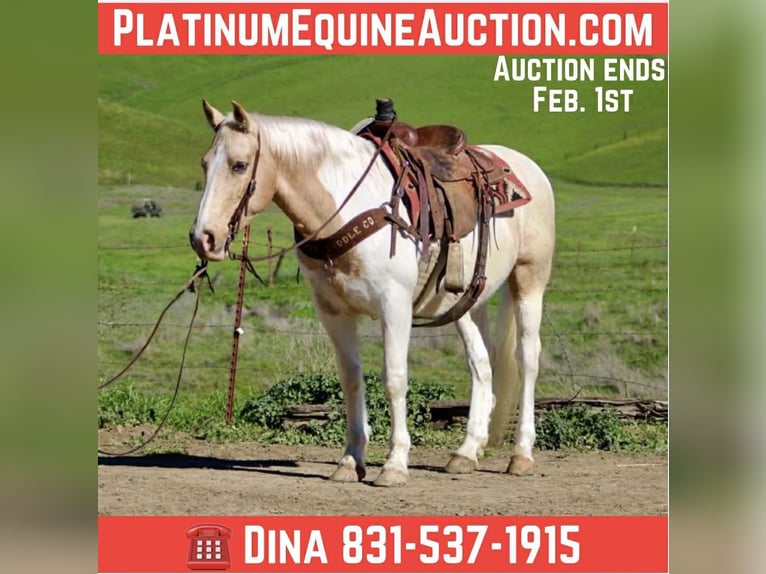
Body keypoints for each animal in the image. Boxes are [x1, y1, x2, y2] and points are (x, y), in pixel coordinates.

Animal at [189, 100, 556, 487]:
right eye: (205, 162)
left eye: (239, 165)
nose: (203, 238)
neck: (345, 208)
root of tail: (525, 166)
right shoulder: (333, 312)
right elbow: (351, 380)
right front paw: (351, 460)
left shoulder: (394, 305)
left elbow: (394, 379)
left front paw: (394, 464)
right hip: (467, 303)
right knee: (482, 364)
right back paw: (466, 452)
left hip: (529, 280)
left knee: (527, 359)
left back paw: (521, 454)